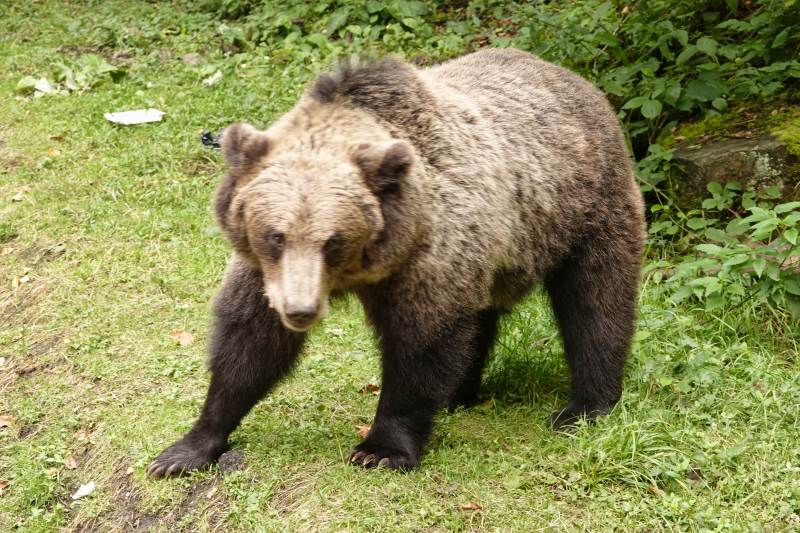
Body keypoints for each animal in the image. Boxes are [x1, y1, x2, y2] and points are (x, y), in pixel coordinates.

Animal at [147, 47, 648, 476]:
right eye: (276, 235)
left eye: (333, 240)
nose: (300, 310)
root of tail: (574, 80)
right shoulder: (265, 274)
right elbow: (248, 344)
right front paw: (187, 449)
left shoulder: (428, 257)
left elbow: (420, 347)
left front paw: (381, 448)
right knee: (482, 317)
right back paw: (461, 393)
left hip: (585, 211)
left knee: (596, 303)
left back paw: (585, 405)